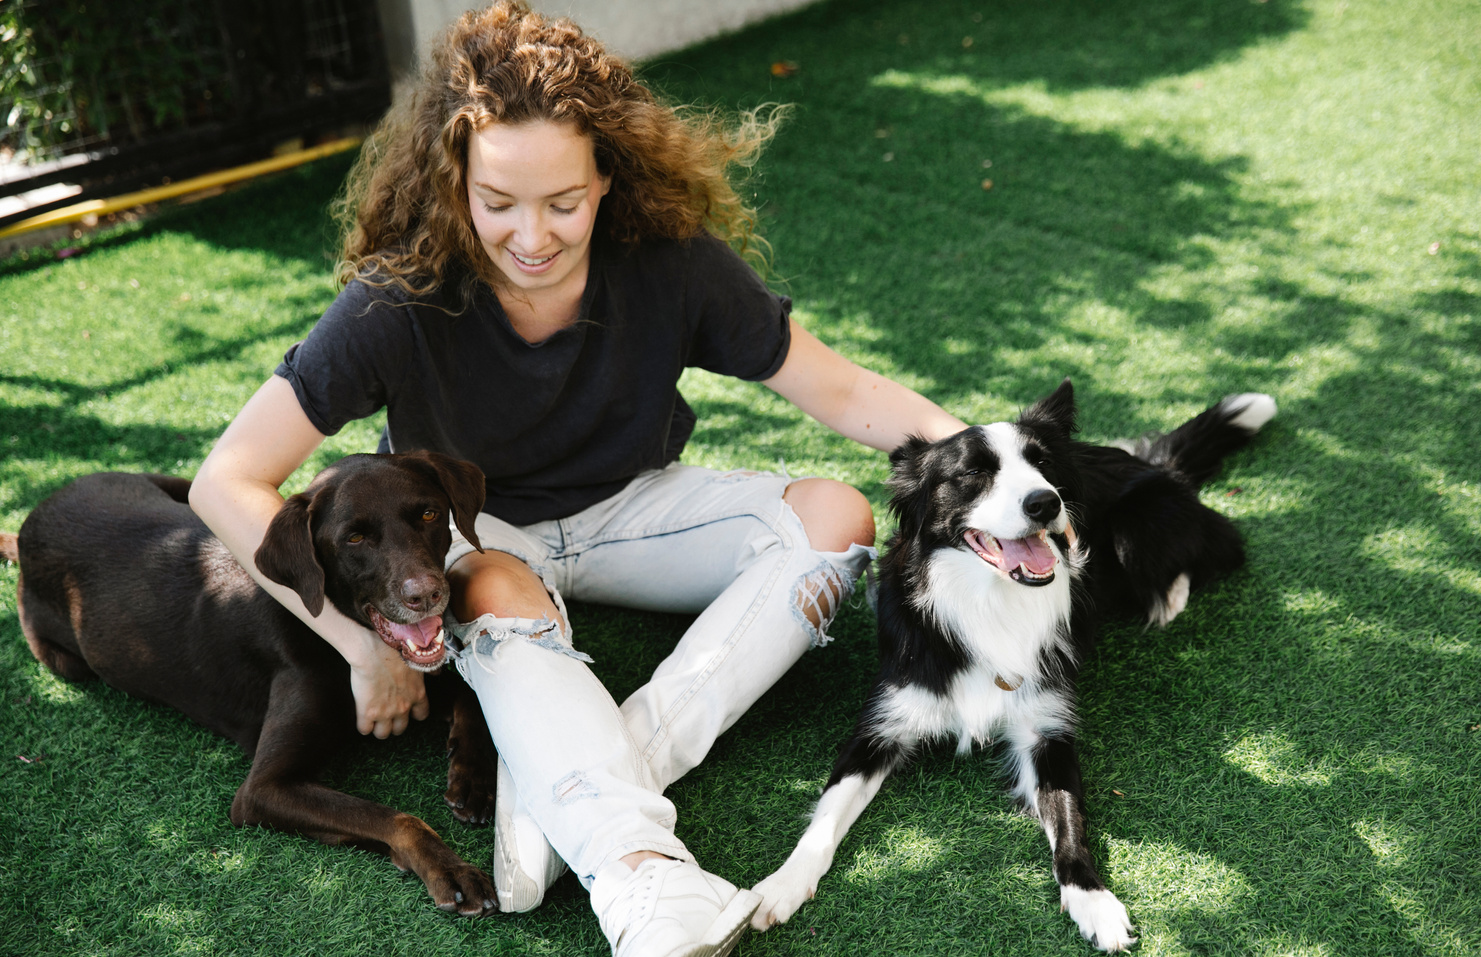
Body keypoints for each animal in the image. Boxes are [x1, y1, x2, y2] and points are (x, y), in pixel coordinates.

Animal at [0, 453, 500, 918]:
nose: (427, 594)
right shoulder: (263, 790)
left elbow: (472, 695)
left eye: (429, 514)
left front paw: (473, 780)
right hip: (64, 661)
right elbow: (397, 818)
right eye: (354, 538)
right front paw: (452, 870)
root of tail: (36, 515)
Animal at [752, 379, 1273, 954]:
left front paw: (1093, 901)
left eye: (1042, 463)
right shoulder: (882, 724)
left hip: (1140, 529)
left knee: (1219, 546)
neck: (990, 600)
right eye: (974, 473)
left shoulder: (1046, 729)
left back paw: (1168, 599)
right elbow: (827, 814)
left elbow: (1071, 824)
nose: (1047, 502)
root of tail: (1152, 462)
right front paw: (781, 884)